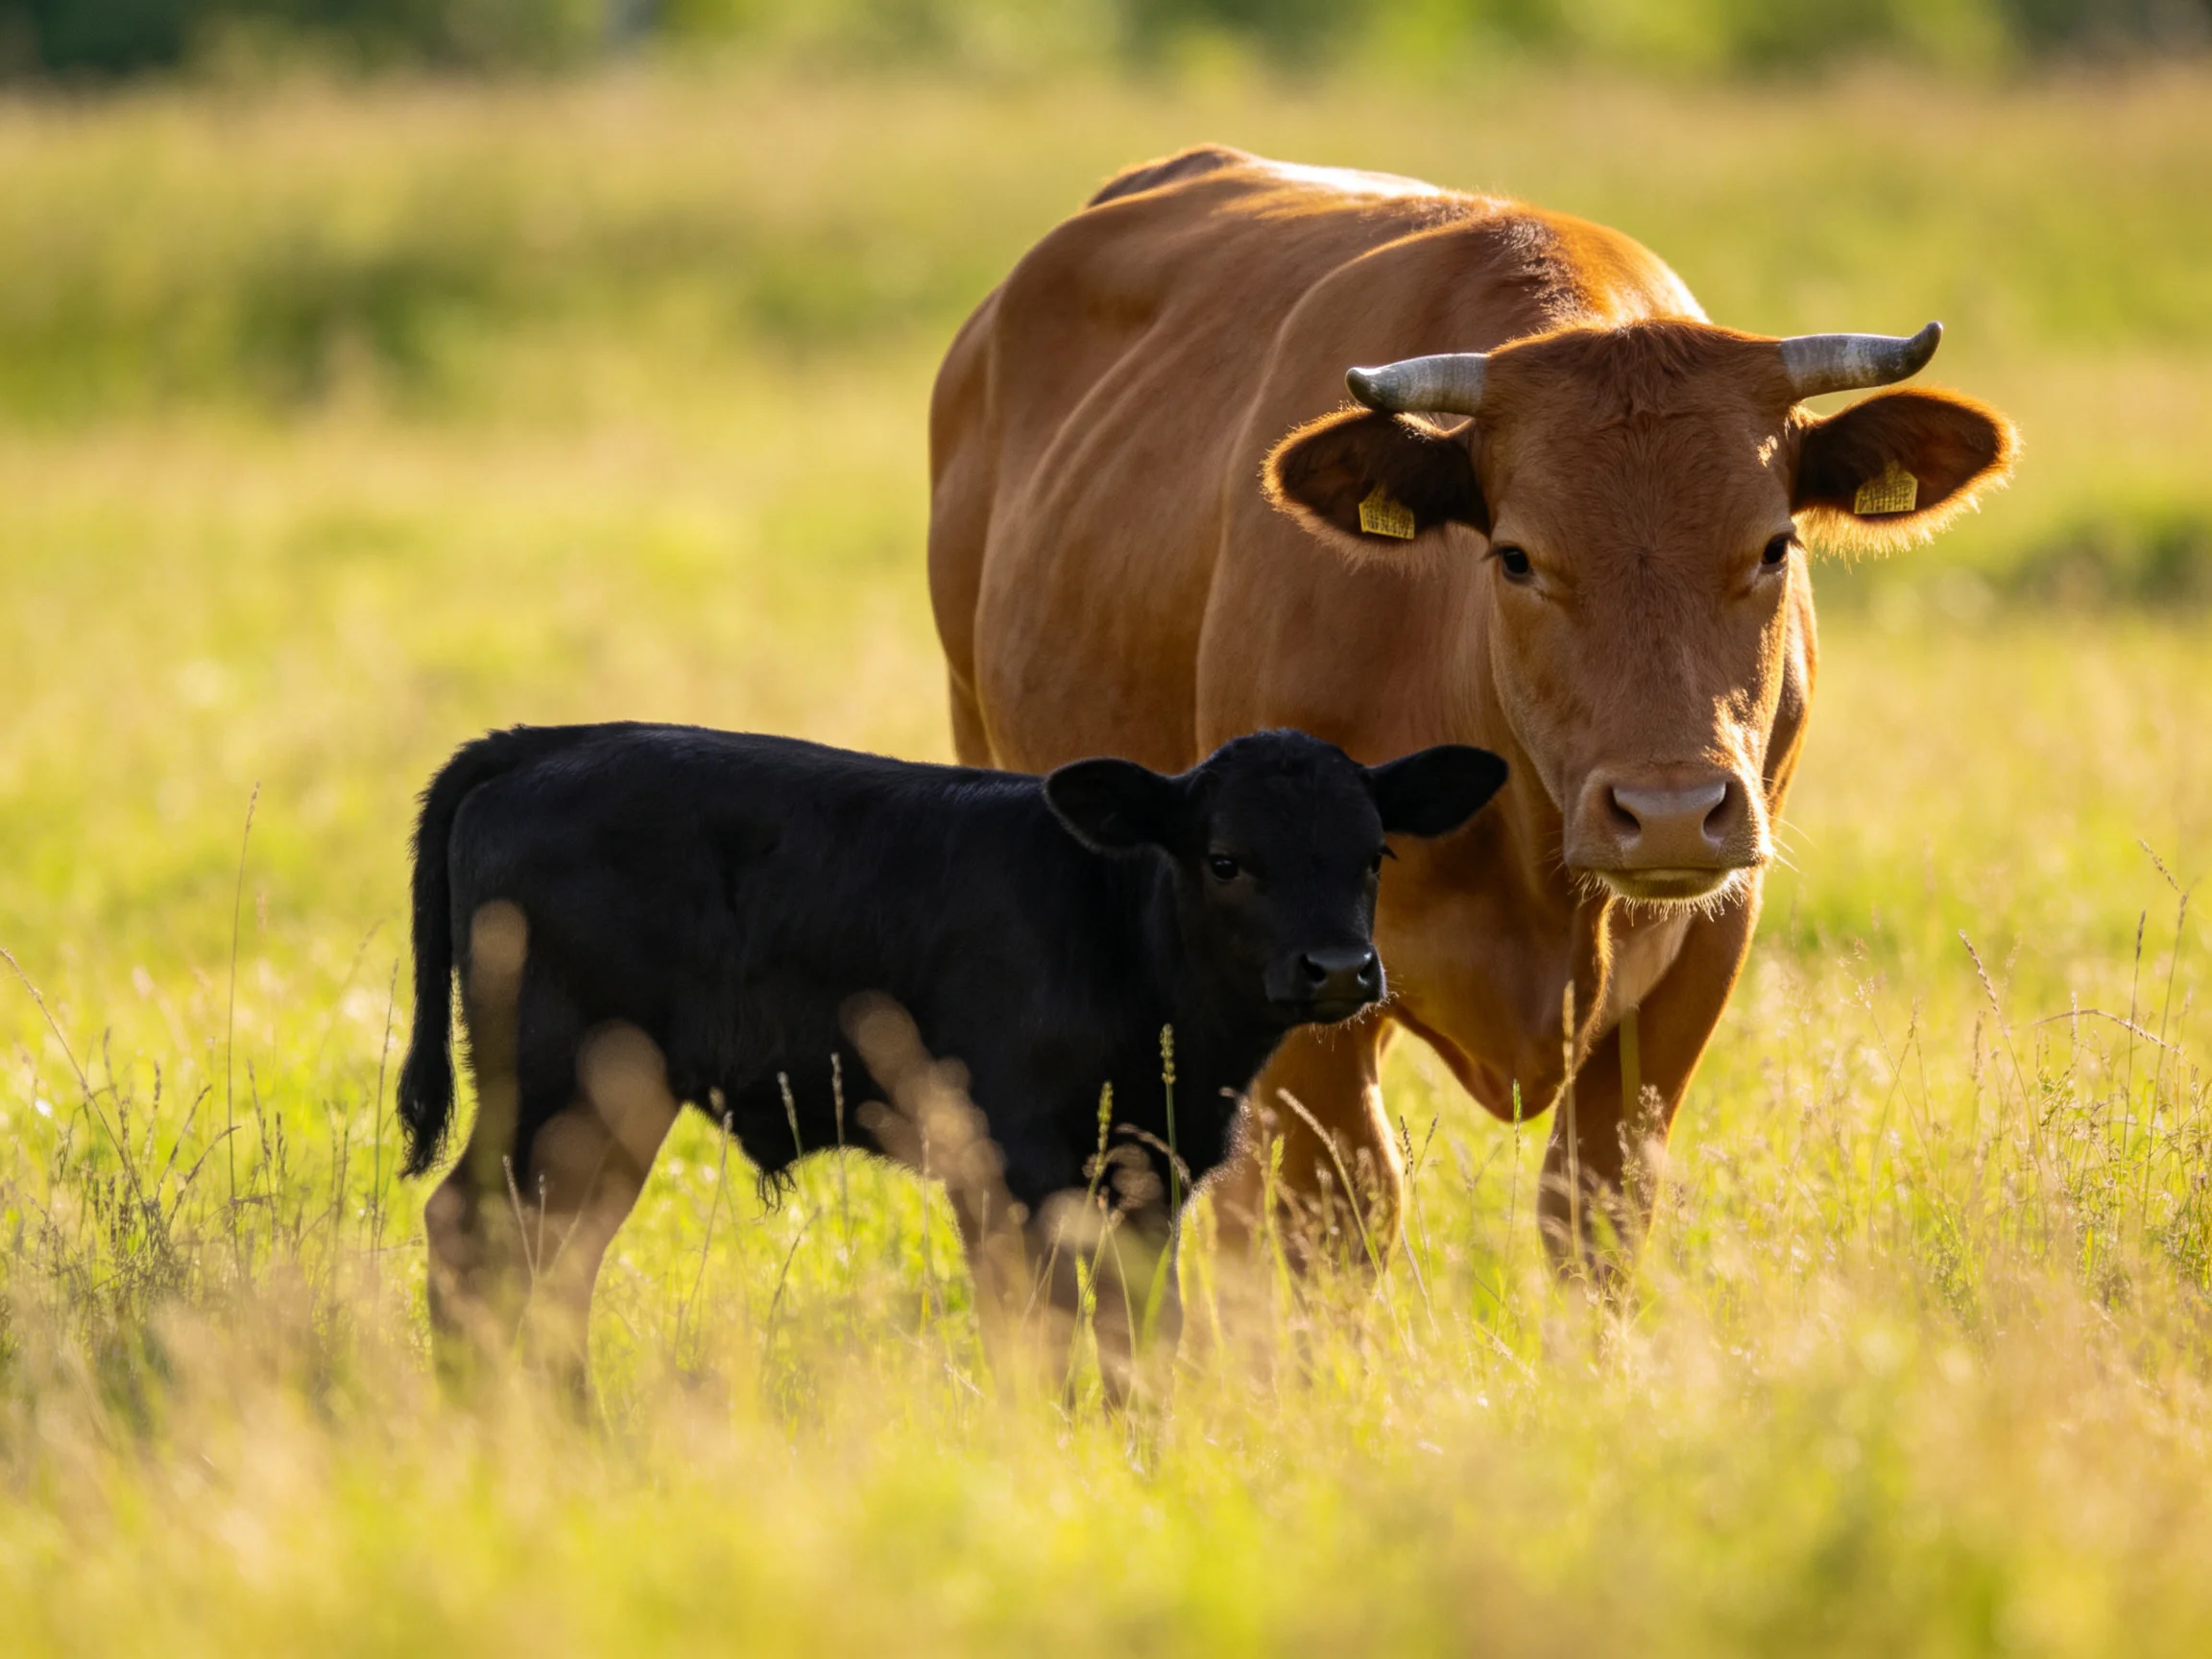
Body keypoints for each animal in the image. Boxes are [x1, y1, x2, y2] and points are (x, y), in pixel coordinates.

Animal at [396, 721, 1505, 1394]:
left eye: (1372, 855)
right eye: (1226, 859)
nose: (1339, 967)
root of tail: (543, 744)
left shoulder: (1152, 1172)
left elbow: (1143, 1330)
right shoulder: (1014, 1165)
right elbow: (1040, 1328)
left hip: (608, 1107)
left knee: (554, 1252)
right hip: (559, 1085)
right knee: (476, 1229)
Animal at [928, 145, 2017, 1272]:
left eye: (1774, 545)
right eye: (1517, 556)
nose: (1671, 813)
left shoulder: (1706, 946)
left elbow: (1597, 1206)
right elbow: (1334, 1209)